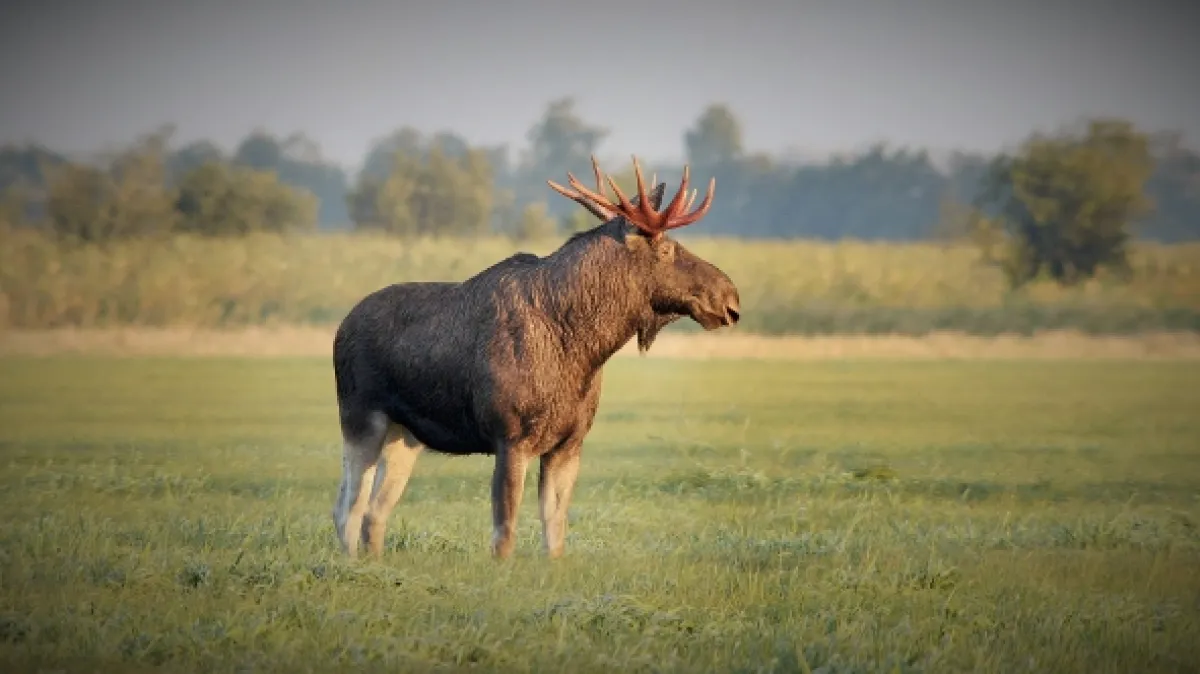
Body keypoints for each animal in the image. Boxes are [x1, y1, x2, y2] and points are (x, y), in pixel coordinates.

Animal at [330, 155, 740, 560]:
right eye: (667, 249)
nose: (730, 299)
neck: (582, 348)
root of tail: (341, 327)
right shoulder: (510, 438)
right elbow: (504, 533)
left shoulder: (568, 443)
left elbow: (554, 531)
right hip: (361, 419)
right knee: (348, 508)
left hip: (407, 437)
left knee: (374, 512)